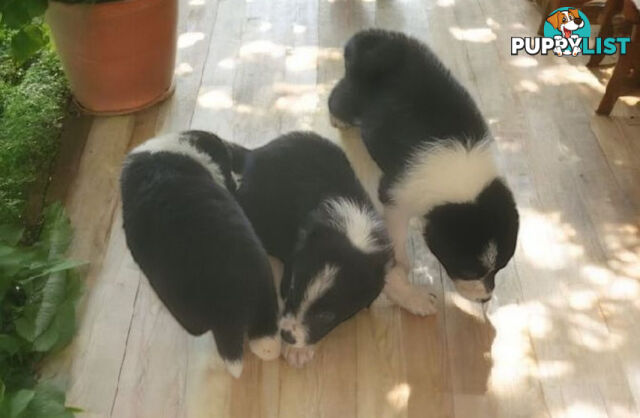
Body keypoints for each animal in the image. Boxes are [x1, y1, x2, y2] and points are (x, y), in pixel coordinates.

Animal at [238, 132, 412, 368]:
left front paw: (415, 297)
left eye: (326, 317)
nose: (286, 336)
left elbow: (390, 274)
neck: (352, 229)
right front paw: (297, 351)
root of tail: (255, 152)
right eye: (291, 289)